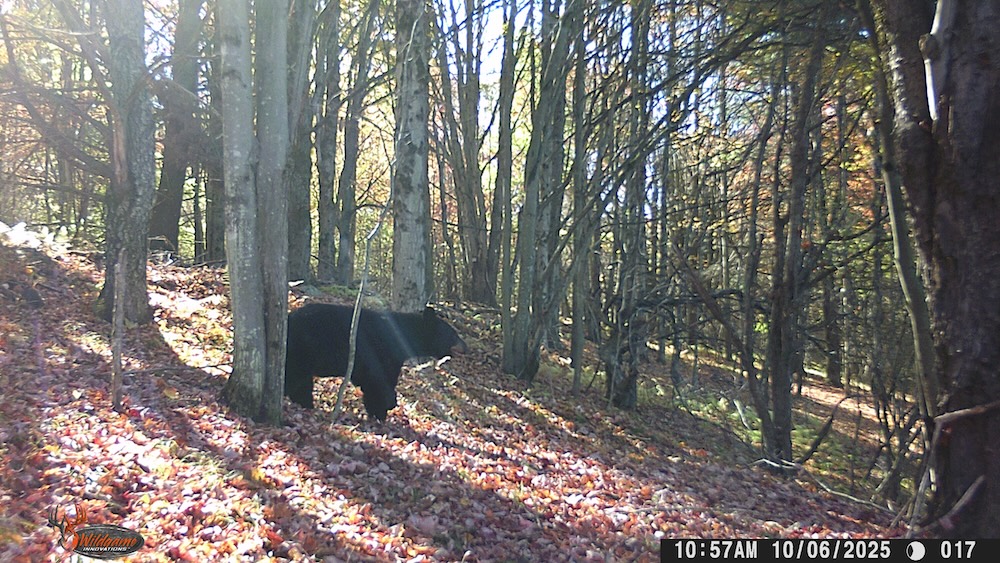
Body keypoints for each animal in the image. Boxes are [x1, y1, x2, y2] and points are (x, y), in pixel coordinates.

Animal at [284, 303, 467, 421]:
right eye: (453, 334)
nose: (466, 347)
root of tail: (290, 317)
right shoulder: (379, 354)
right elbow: (378, 383)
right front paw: (382, 409)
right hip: (302, 350)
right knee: (294, 379)